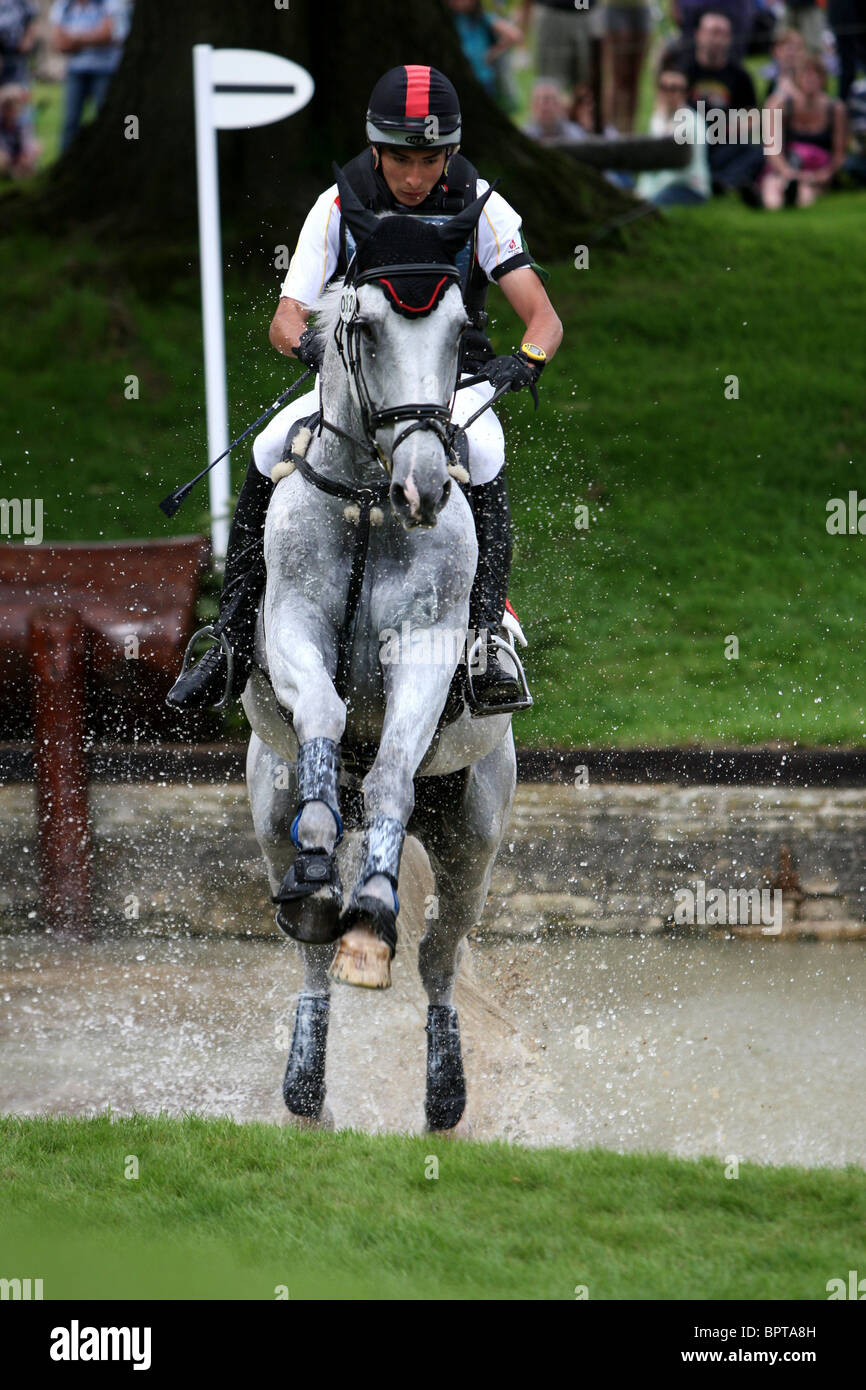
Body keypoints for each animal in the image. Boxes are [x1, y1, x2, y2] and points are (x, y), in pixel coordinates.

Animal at [239, 170, 528, 1128]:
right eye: (363, 328)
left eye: (462, 335)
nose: (426, 486)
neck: (368, 497)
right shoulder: (291, 628)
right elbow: (326, 713)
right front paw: (326, 848)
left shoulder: (430, 652)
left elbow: (394, 768)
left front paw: (369, 909)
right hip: (266, 801)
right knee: (307, 947)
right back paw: (306, 1083)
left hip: (473, 830)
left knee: (439, 955)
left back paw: (442, 1087)